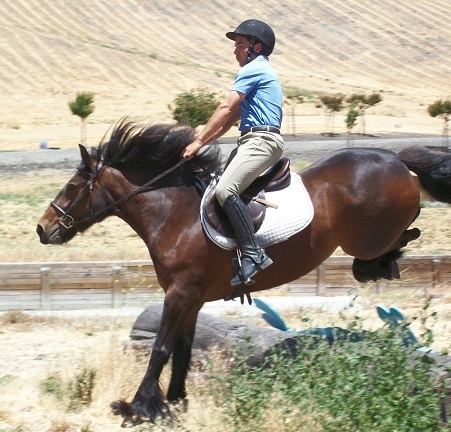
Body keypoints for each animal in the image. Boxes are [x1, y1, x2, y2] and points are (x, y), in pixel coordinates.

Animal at [36, 120, 451, 426]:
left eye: (72, 187)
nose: (43, 229)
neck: (172, 212)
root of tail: (397, 159)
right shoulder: (192, 298)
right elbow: (182, 351)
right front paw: (176, 404)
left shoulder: (180, 293)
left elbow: (160, 349)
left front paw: (139, 408)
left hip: (364, 237)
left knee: (401, 235)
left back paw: (379, 265)